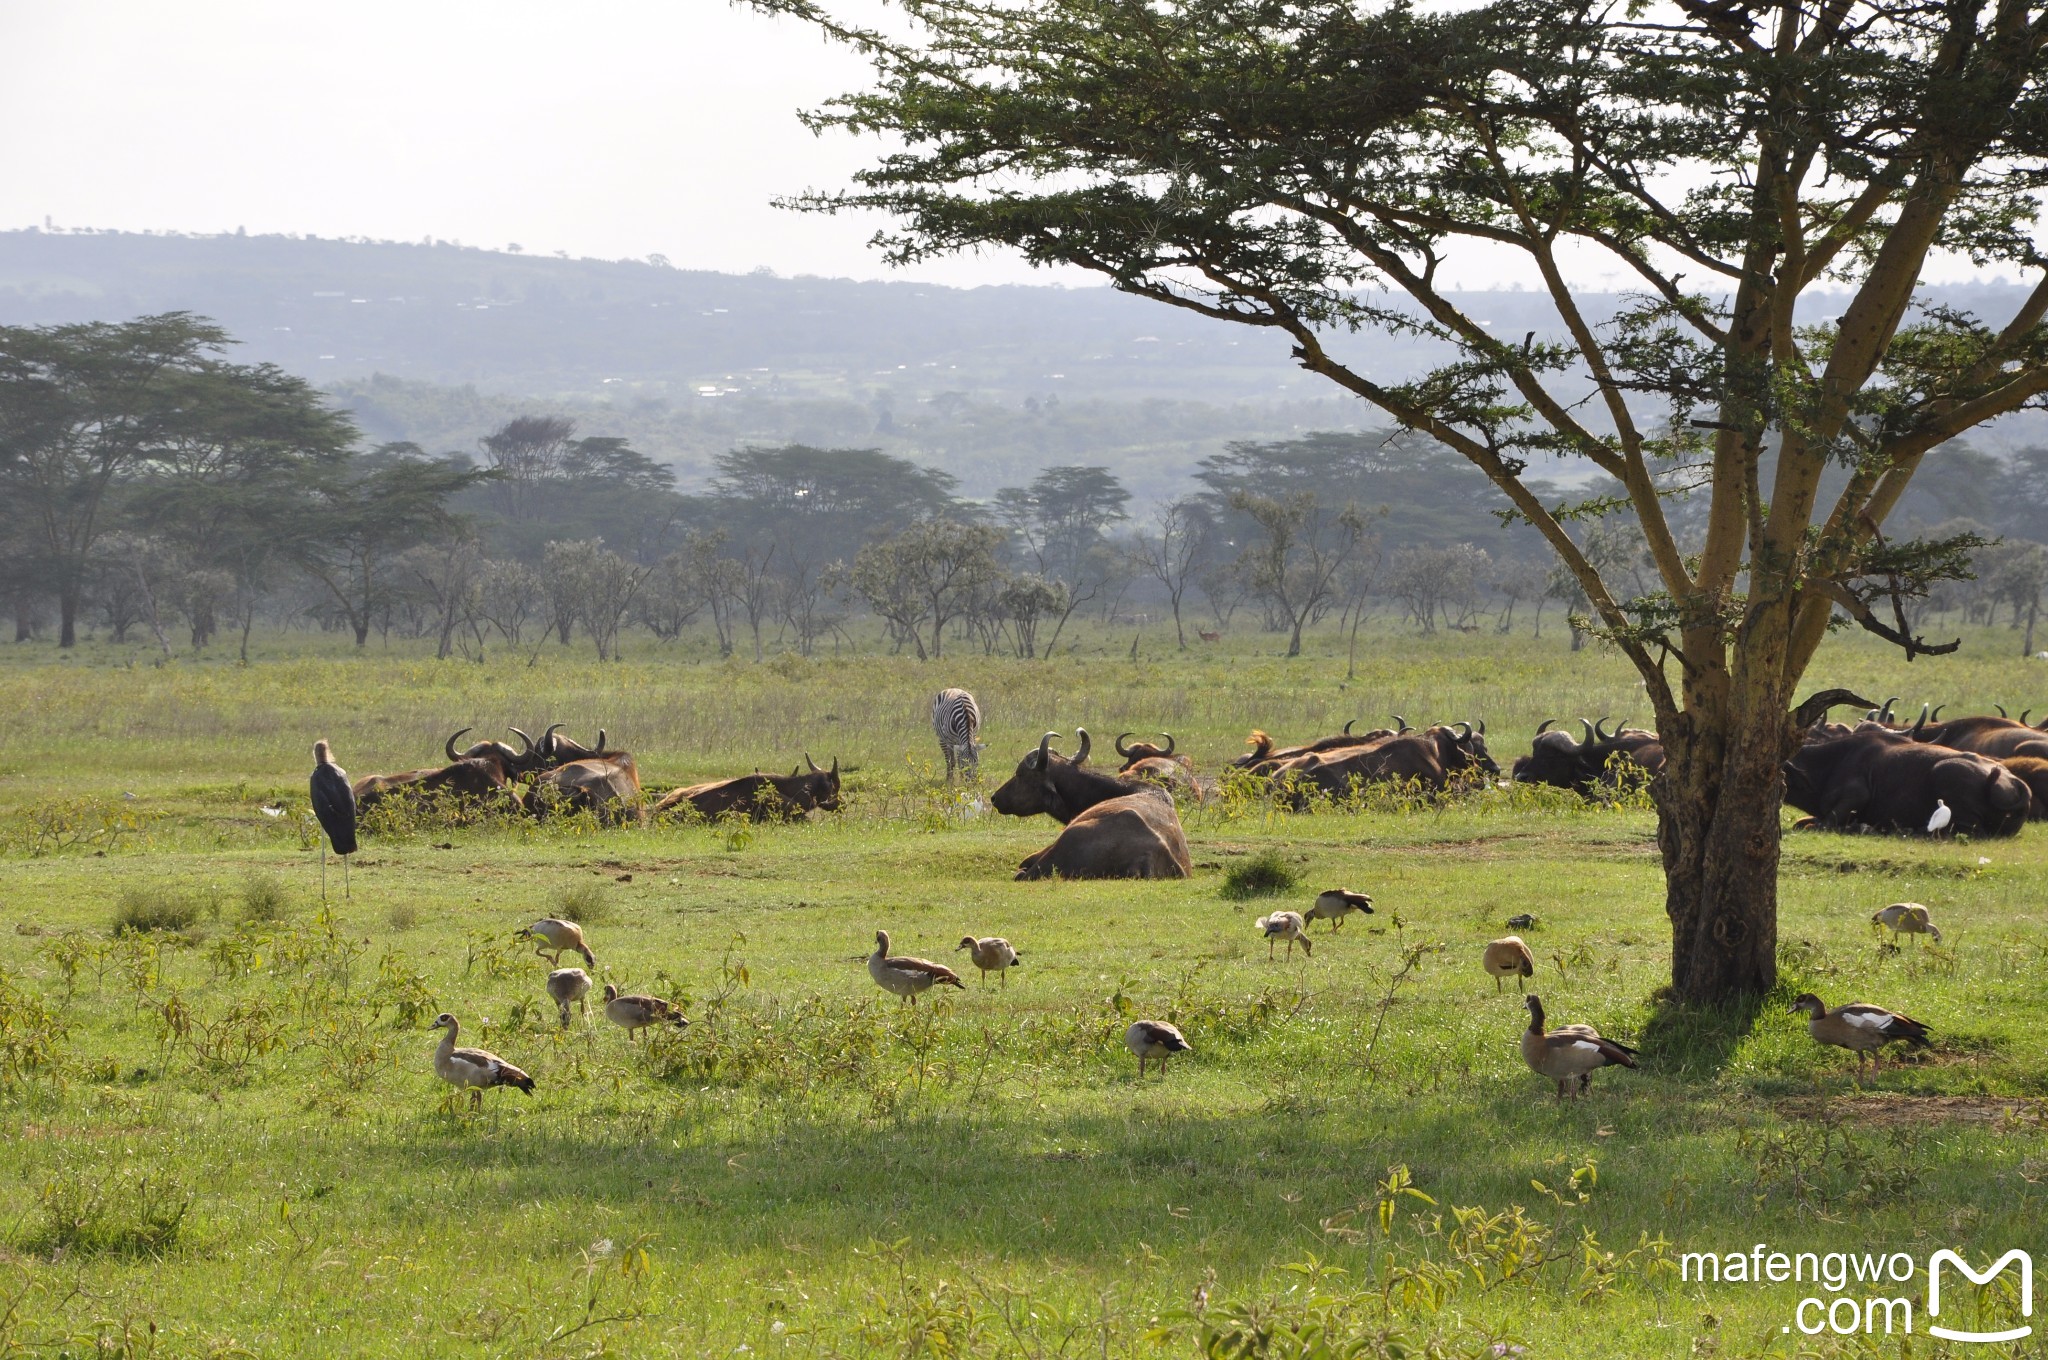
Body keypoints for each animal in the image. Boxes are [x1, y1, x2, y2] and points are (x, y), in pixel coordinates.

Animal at [1777, 729, 2031, 835]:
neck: (1830, 764)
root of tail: (2017, 784)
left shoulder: (1855, 797)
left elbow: (1819, 824)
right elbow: (1803, 822)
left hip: (1946, 771)